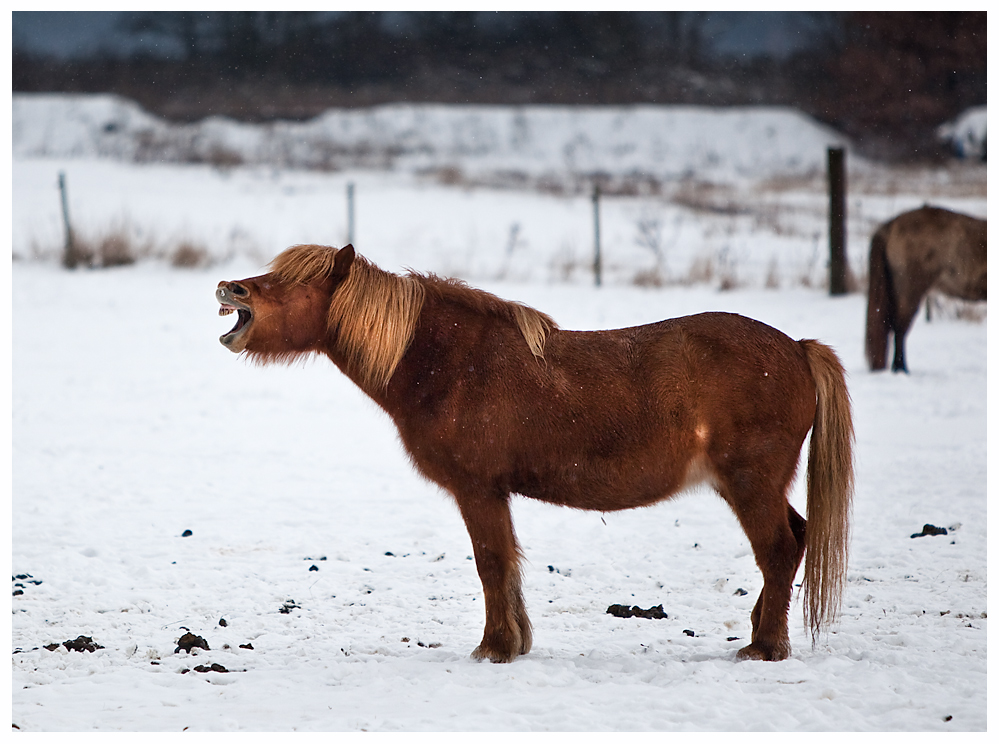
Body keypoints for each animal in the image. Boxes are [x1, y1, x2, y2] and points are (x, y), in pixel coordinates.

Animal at [217, 244, 852, 664]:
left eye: (297, 284)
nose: (231, 290)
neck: (450, 364)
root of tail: (798, 349)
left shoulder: (477, 489)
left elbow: (492, 563)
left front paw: (494, 649)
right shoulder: (493, 492)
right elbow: (507, 563)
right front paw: (515, 642)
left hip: (750, 483)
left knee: (779, 549)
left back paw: (764, 648)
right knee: (793, 541)